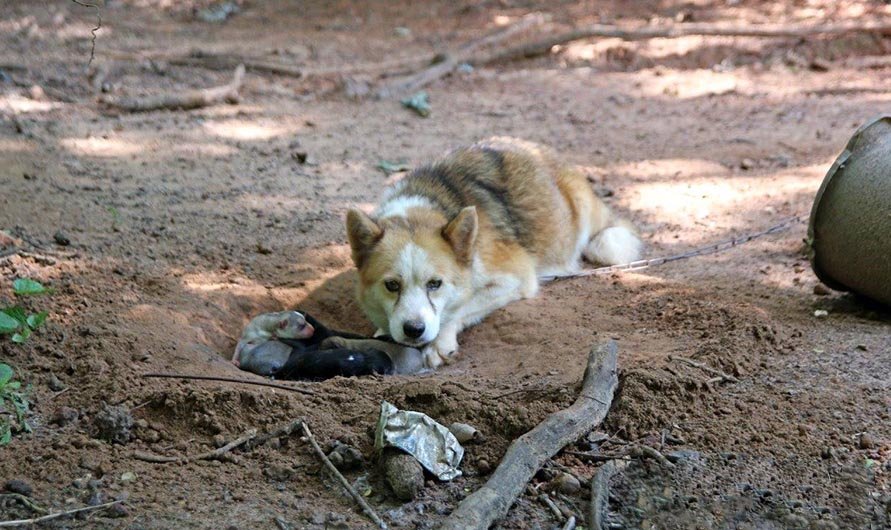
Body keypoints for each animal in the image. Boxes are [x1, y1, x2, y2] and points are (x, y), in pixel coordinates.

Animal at [344, 137, 644, 368]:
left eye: (435, 284)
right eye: (392, 285)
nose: (414, 330)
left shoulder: (517, 278)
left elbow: (462, 307)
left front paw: (439, 341)